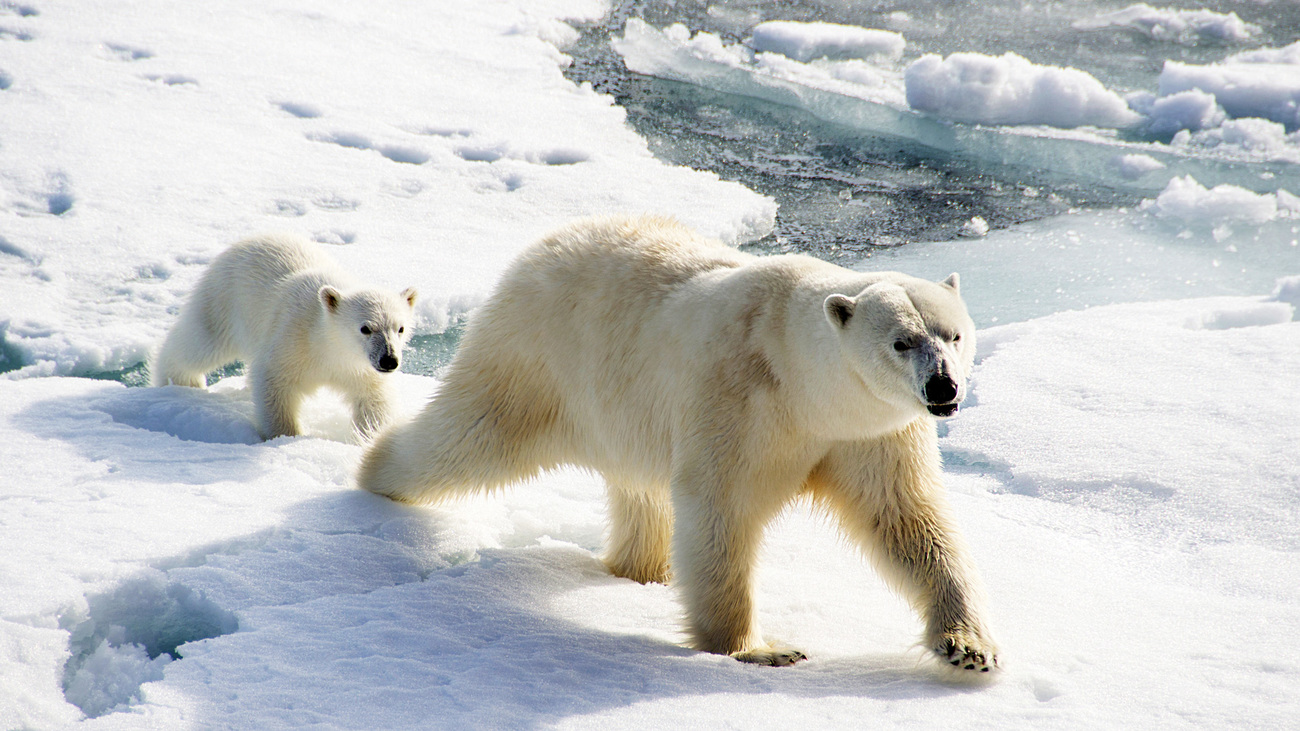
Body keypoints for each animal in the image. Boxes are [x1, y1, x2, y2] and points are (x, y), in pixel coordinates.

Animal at [151, 232, 416, 437]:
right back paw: (182, 383)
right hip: (224, 299)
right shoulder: (292, 339)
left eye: (400, 328)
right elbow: (274, 384)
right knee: (200, 342)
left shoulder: (359, 368)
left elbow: (373, 401)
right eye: (365, 328)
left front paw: (371, 437)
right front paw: (287, 437)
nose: (389, 360)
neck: (327, 344)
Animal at [361, 213, 998, 671]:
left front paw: (969, 647)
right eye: (900, 341)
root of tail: (545, 241)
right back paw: (373, 472)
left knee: (640, 493)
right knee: (467, 436)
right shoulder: (737, 398)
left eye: (953, 334)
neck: (799, 377)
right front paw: (757, 648)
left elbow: (907, 518)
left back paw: (643, 569)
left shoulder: (871, 431)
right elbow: (721, 507)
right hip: (535, 357)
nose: (944, 387)